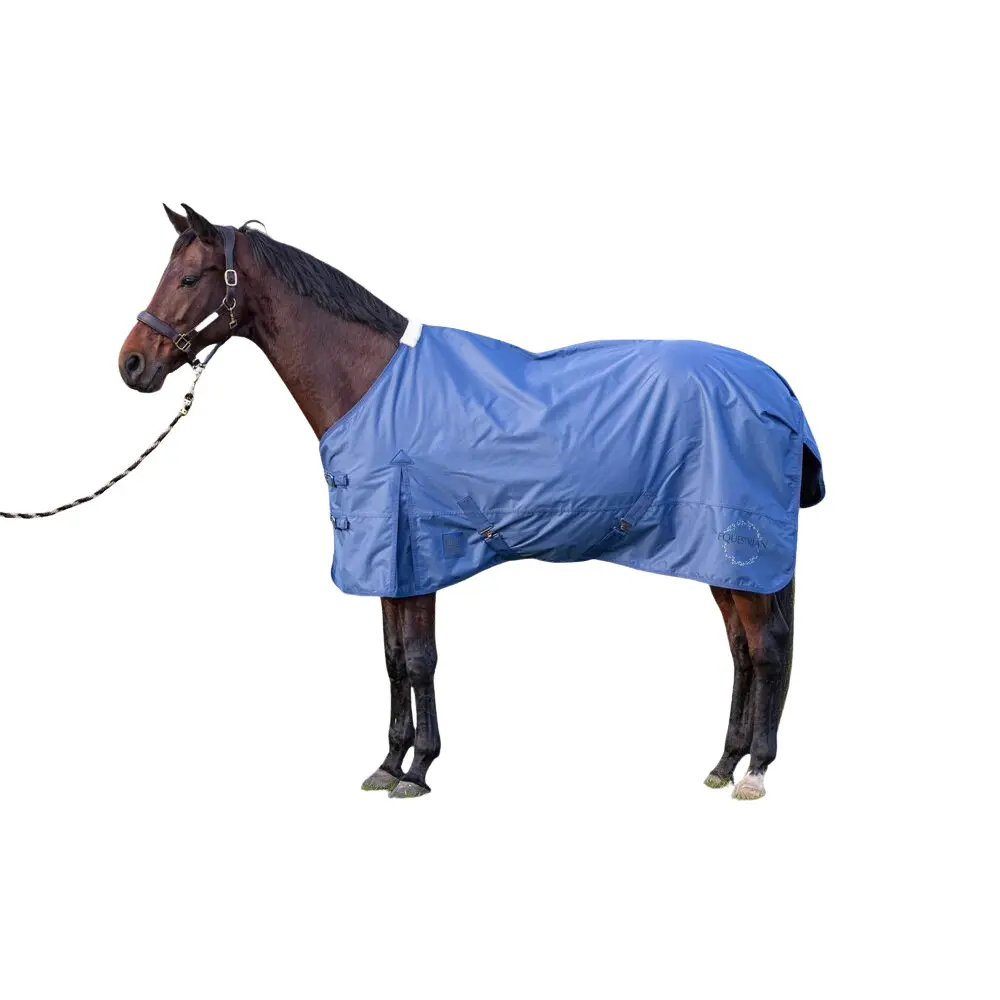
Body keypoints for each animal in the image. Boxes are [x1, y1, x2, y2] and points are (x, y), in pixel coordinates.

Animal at [119, 204, 824, 801]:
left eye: (190, 277)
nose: (131, 364)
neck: (371, 384)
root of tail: (776, 386)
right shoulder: (390, 560)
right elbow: (393, 659)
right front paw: (389, 762)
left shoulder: (416, 549)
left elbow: (420, 659)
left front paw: (419, 770)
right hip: (722, 560)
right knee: (741, 652)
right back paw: (724, 762)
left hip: (741, 551)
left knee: (766, 650)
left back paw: (755, 772)